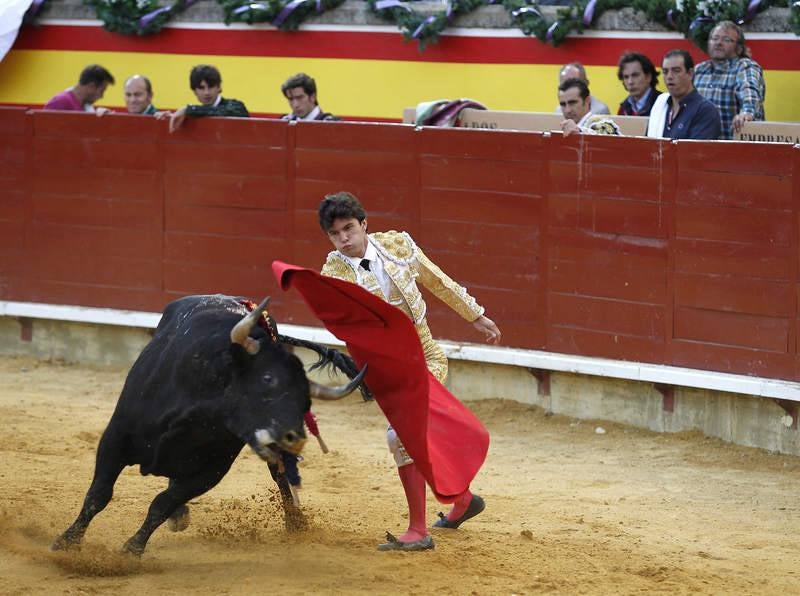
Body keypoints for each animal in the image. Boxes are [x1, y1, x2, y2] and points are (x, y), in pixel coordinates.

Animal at [53, 294, 368, 556]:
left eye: (306, 402)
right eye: (268, 379)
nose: (296, 438)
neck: (202, 411)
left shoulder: (210, 471)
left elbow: (161, 504)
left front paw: (132, 550)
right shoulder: (115, 438)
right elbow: (99, 494)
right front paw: (67, 542)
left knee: (279, 476)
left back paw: (295, 523)